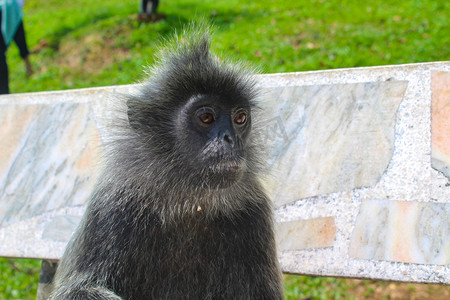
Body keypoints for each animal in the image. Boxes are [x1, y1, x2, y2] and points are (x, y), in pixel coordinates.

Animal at [51, 27, 284, 298]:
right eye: (206, 117)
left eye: (240, 118)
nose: (230, 139)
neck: (187, 204)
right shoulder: (111, 204)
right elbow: (77, 288)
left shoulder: (255, 211)